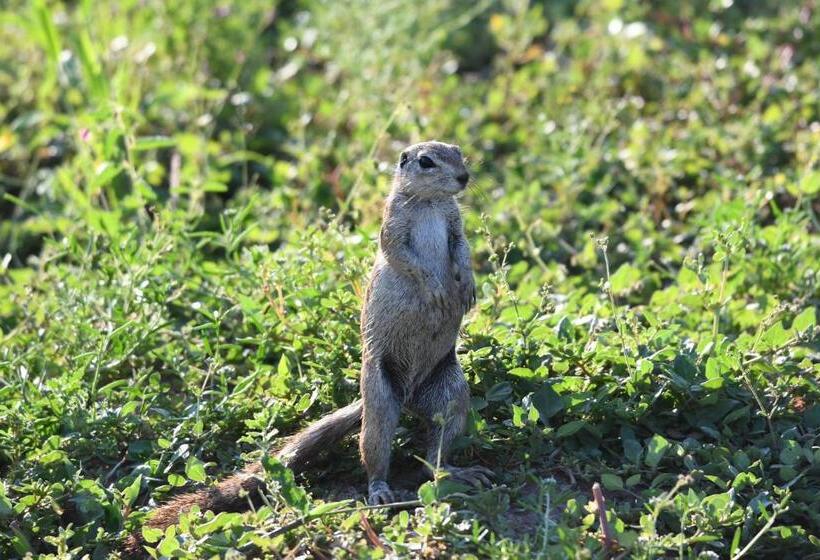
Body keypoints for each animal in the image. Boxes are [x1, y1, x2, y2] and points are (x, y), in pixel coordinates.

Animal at [121, 141, 486, 556]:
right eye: (426, 162)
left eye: (458, 151)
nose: (464, 178)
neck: (429, 202)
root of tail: (407, 397)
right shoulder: (393, 226)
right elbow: (403, 256)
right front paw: (437, 289)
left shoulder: (454, 223)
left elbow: (462, 250)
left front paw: (467, 285)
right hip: (379, 401)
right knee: (374, 452)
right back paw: (380, 491)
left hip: (451, 393)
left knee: (434, 457)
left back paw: (456, 471)